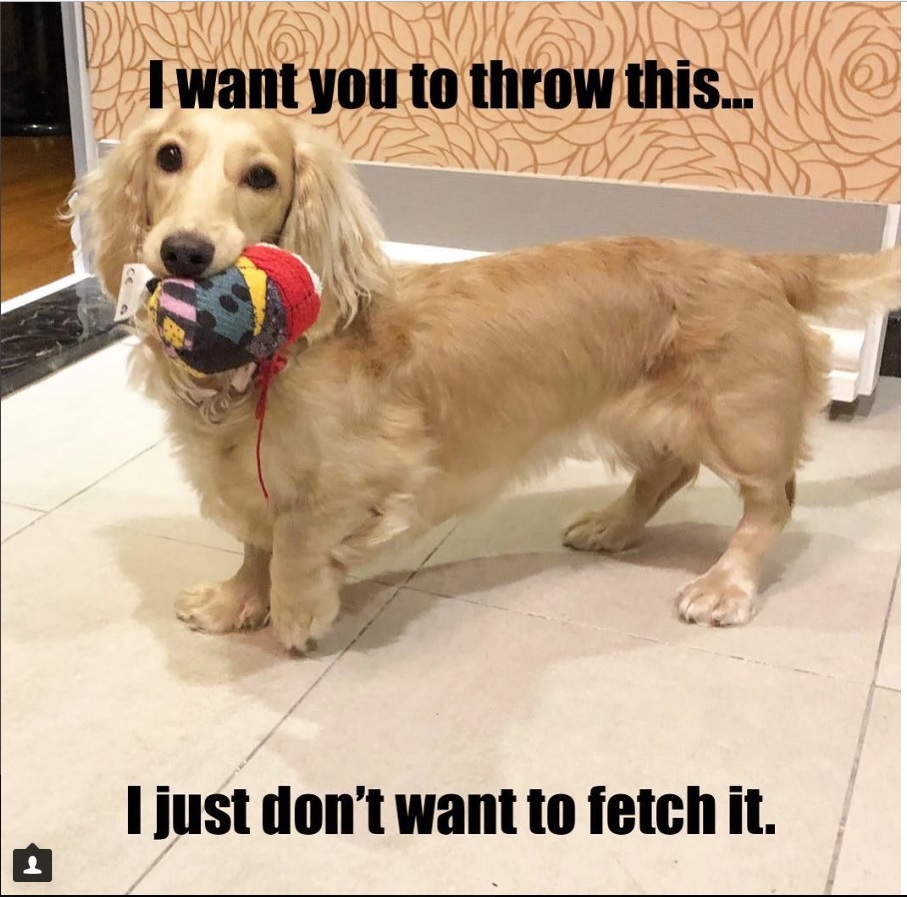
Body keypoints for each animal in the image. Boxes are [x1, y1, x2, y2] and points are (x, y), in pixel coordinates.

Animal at [72, 107, 900, 652]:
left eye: (261, 175)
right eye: (168, 157)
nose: (184, 251)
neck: (278, 361)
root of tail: (757, 260)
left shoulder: (369, 469)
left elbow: (301, 538)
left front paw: (296, 608)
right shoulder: (250, 474)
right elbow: (255, 539)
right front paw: (236, 598)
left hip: (739, 423)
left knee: (771, 504)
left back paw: (724, 585)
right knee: (665, 473)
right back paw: (612, 524)